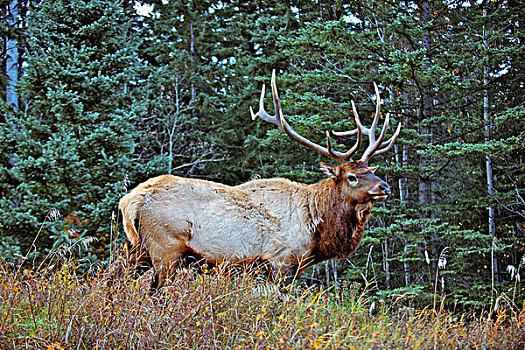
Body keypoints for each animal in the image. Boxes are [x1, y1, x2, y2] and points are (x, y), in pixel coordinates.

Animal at [118, 70, 400, 292]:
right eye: (352, 177)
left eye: (370, 170)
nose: (385, 187)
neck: (315, 226)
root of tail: (130, 201)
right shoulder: (280, 260)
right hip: (165, 248)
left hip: (136, 249)